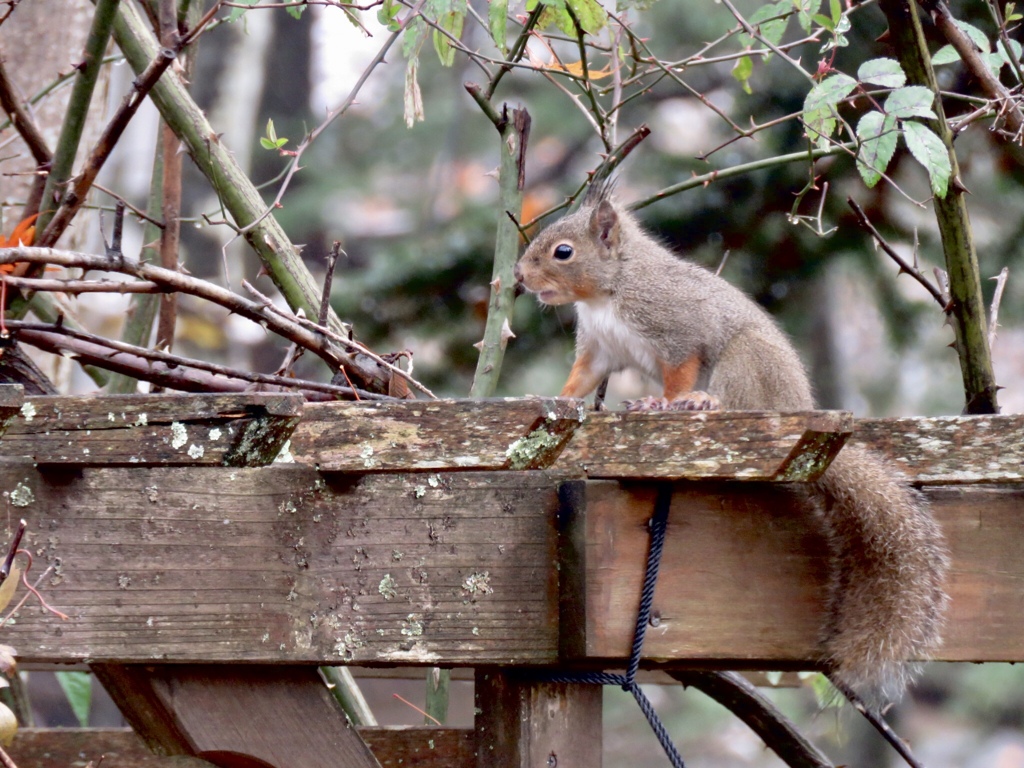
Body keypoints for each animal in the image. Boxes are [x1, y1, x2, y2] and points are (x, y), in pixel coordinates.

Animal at [516, 182, 954, 708]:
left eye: (563, 252)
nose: (518, 276)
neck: (610, 291)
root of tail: (796, 403)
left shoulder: (678, 331)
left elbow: (679, 371)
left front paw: (665, 402)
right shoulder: (599, 349)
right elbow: (579, 381)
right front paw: (551, 397)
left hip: (746, 362)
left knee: (733, 393)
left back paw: (703, 400)